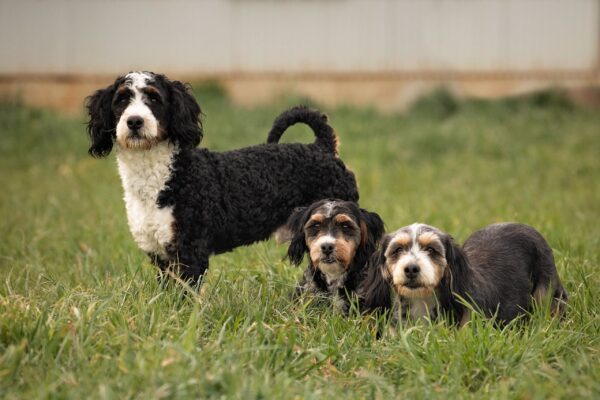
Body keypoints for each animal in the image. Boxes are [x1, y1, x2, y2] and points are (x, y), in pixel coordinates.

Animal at [84, 72, 356, 284]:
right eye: (121, 100)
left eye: (154, 98)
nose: (134, 121)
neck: (164, 178)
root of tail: (322, 147)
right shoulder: (160, 253)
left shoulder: (191, 251)